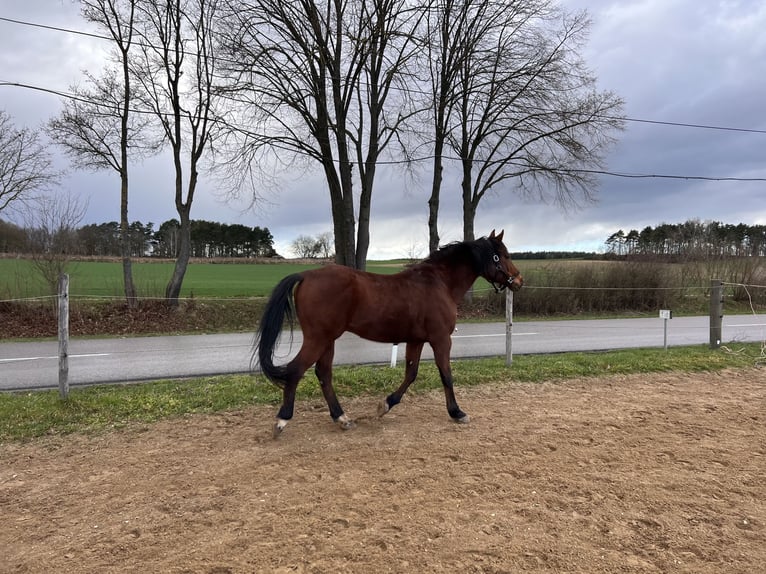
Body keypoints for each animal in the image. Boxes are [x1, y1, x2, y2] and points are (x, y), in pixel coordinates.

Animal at [254, 229, 523, 437]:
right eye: (504, 255)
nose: (519, 280)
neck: (439, 283)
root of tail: (306, 275)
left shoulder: (416, 340)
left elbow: (411, 374)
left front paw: (385, 405)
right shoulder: (440, 340)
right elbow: (446, 375)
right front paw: (457, 412)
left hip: (327, 340)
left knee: (323, 374)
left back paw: (341, 418)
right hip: (318, 338)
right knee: (296, 371)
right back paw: (282, 420)